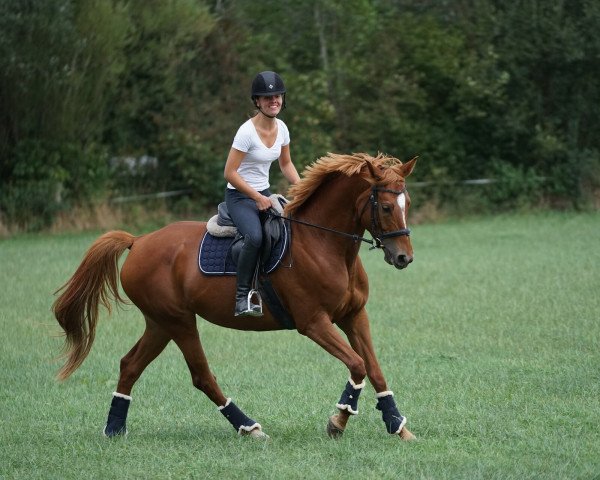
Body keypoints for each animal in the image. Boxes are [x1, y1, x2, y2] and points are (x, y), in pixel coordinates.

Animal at [51, 152, 418, 440]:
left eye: (407, 204)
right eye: (387, 206)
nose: (404, 258)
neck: (324, 244)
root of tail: (138, 241)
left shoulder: (354, 315)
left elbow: (374, 368)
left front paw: (397, 425)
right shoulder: (314, 323)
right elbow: (357, 365)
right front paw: (338, 421)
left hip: (160, 323)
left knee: (130, 365)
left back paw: (114, 428)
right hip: (179, 321)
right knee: (201, 376)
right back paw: (249, 427)